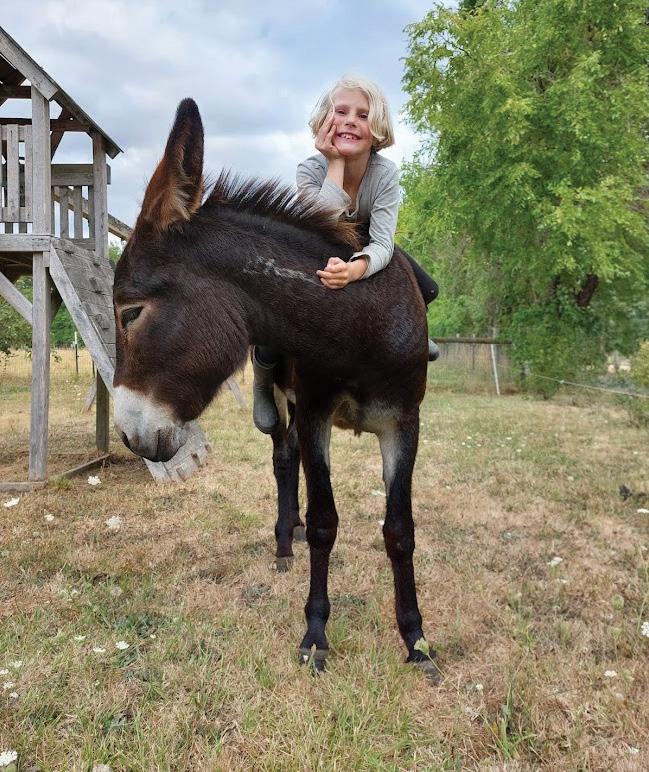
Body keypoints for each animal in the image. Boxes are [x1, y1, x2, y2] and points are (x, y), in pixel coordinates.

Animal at [112, 98, 437, 676]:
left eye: (131, 313)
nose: (128, 436)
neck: (360, 323)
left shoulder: (404, 423)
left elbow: (400, 530)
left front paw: (415, 639)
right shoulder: (313, 413)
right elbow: (327, 522)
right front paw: (316, 634)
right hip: (284, 409)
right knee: (285, 462)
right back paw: (288, 543)